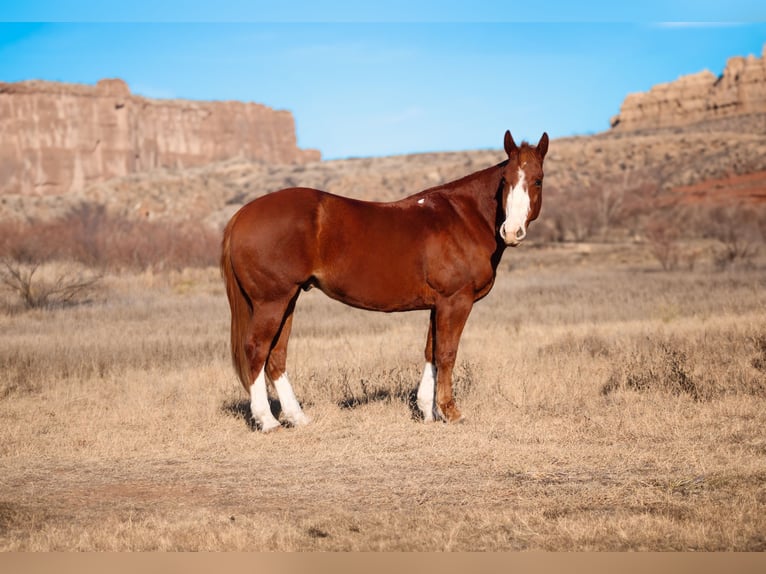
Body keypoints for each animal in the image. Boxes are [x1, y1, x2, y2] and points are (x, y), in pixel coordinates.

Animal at [219, 130, 548, 434]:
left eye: (538, 180)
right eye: (505, 180)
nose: (511, 231)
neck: (464, 218)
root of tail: (241, 215)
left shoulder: (437, 305)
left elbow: (430, 351)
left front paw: (427, 411)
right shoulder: (455, 301)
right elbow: (447, 353)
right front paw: (450, 412)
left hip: (288, 300)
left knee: (276, 356)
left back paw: (297, 418)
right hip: (271, 302)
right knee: (257, 350)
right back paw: (268, 421)